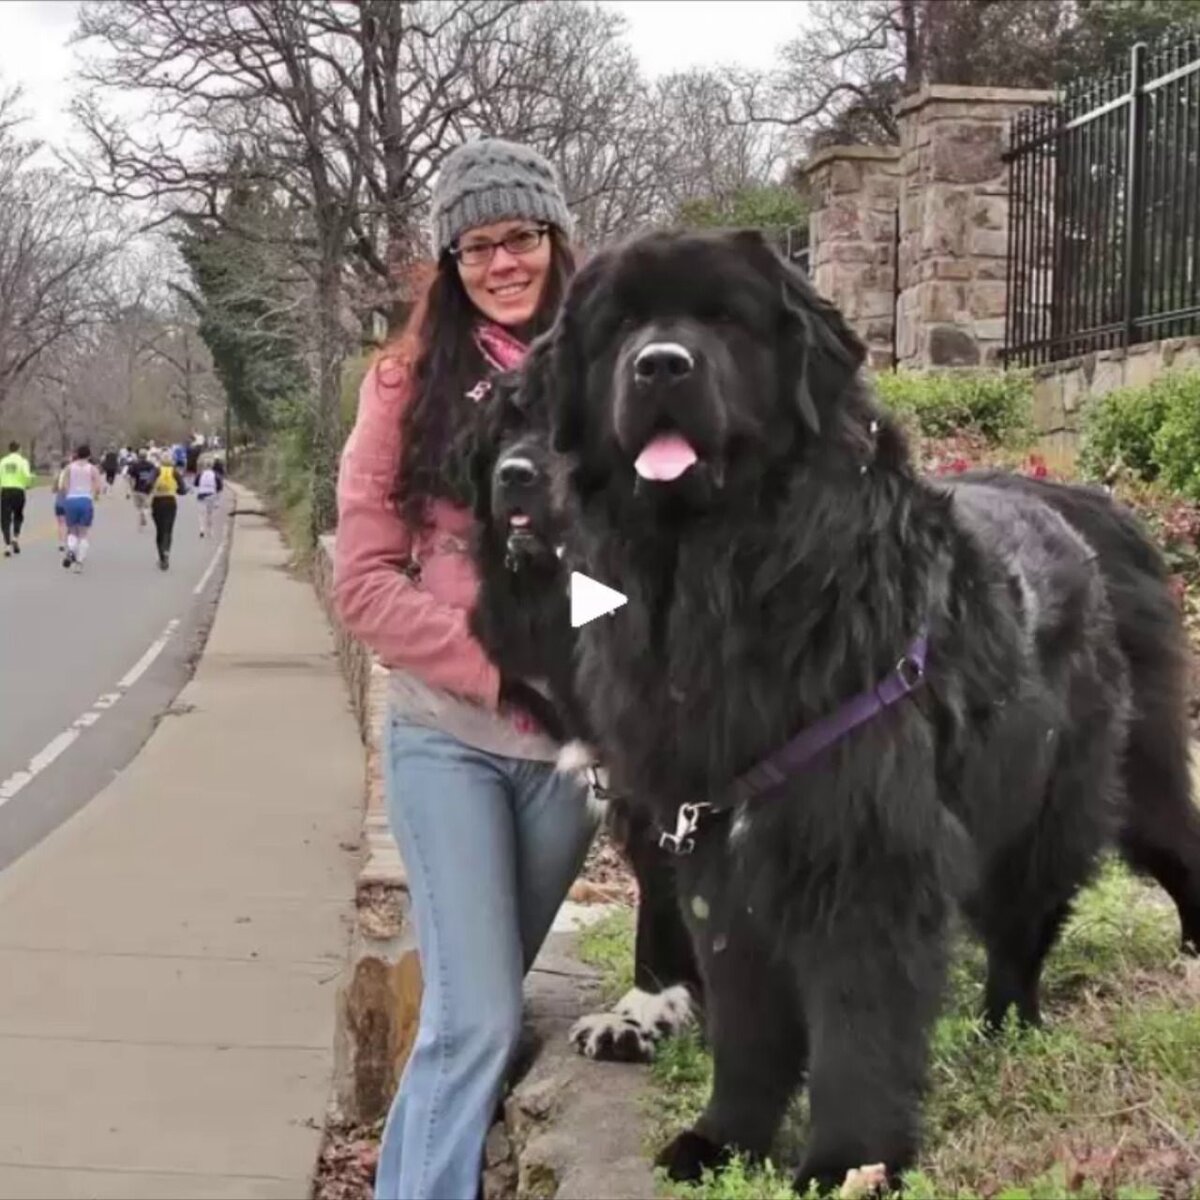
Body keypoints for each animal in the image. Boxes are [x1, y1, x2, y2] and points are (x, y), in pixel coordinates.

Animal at [501, 229, 1200, 1195]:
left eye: (726, 319)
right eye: (620, 328)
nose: (661, 364)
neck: (721, 575)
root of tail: (1080, 503)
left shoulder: (863, 847)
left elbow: (859, 1024)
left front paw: (847, 1162)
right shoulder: (715, 843)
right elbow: (747, 1019)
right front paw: (723, 1139)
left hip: (1079, 793)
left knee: (1043, 914)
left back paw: (1015, 1024)